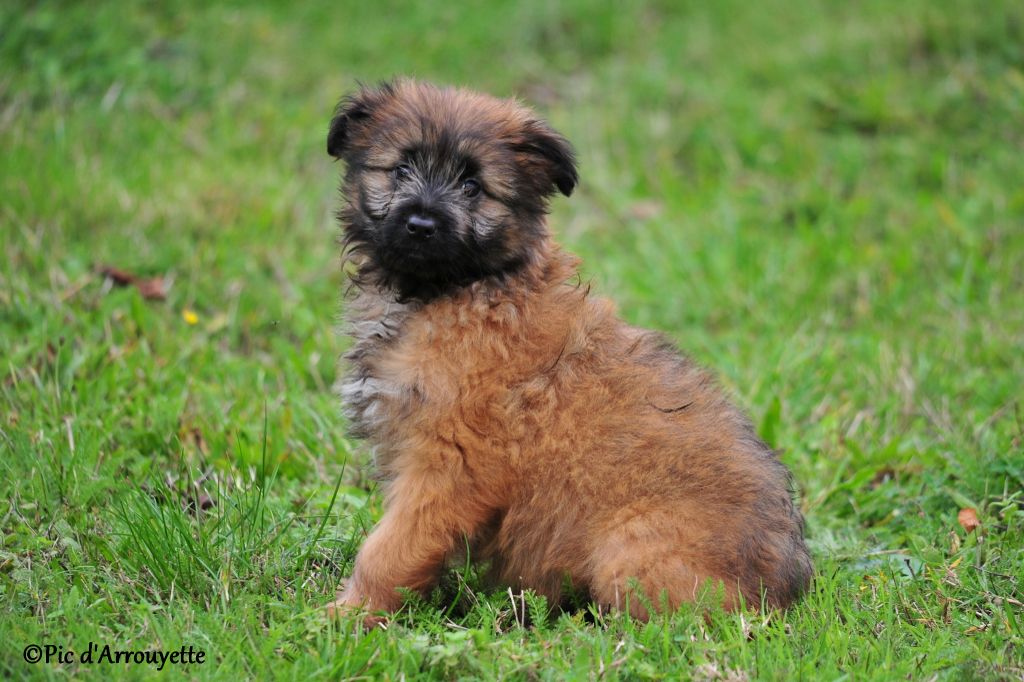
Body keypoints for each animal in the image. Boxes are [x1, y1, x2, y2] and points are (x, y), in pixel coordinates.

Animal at [323, 78, 811, 622]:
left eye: (473, 187)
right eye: (401, 168)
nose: (422, 225)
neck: (457, 291)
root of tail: (785, 591)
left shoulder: (450, 467)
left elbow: (390, 548)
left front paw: (348, 614)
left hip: (632, 550)